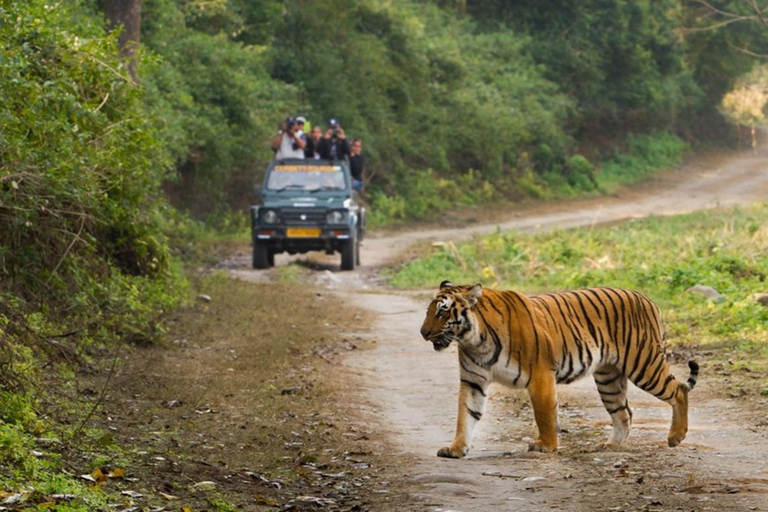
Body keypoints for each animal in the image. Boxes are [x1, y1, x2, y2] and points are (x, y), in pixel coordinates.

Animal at [416, 282, 700, 458]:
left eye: (442, 312)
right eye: (429, 311)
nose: (423, 333)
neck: (474, 340)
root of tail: (647, 299)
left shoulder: (540, 374)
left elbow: (544, 414)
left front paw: (546, 445)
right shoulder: (473, 381)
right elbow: (465, 415)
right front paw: (456, 448)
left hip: (644, 364)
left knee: (678, 390)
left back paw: (676, 437)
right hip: (608, 378)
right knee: (624, 413)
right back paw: (609, 446)